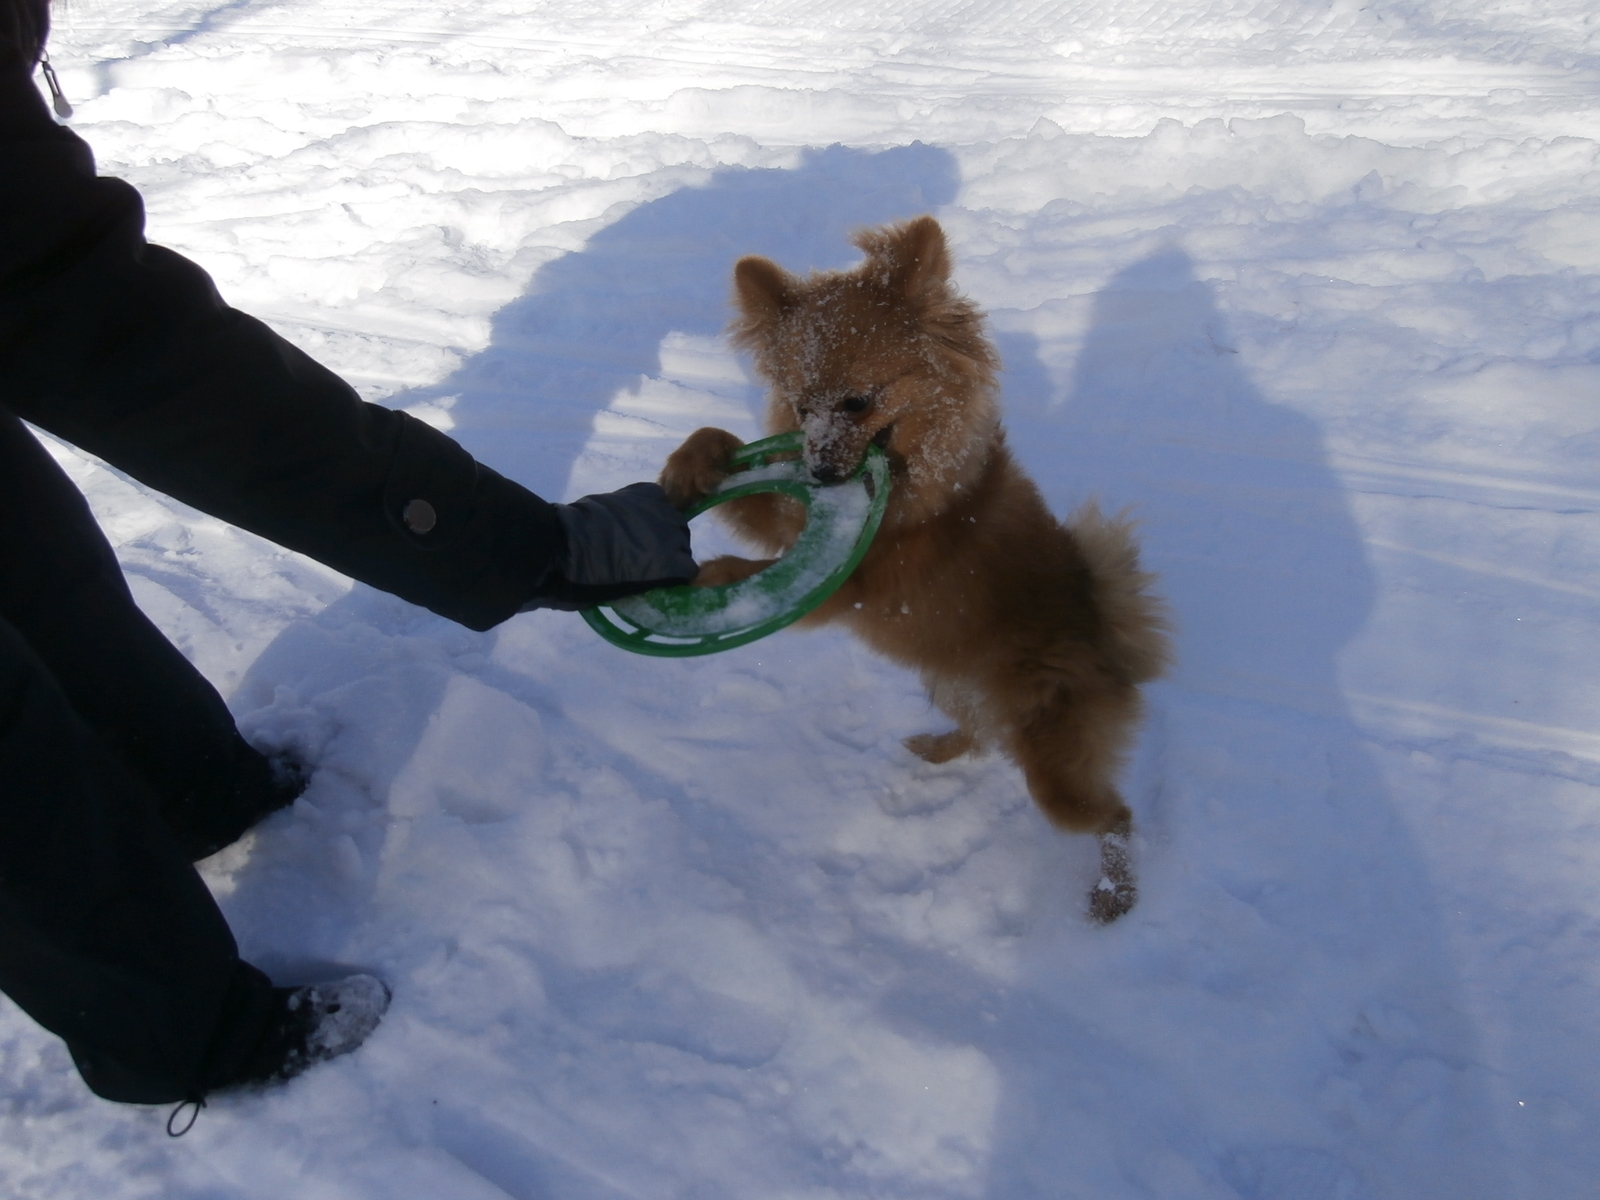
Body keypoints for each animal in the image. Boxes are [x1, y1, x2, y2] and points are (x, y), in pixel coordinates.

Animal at [656, 216, 1171, 928]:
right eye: (801, 407)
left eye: (857, 403)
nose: (819, 471)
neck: (915, 484)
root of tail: (1114, 643)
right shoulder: (792, 519)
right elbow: (724, 452)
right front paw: (688, 466)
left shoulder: (846, 589)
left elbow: (760, 568)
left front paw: (710, 577)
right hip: (956, 687)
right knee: (984, 738)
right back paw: (935, 748)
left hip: (1055, 771)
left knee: (1114, 816)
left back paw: (1114, 894)